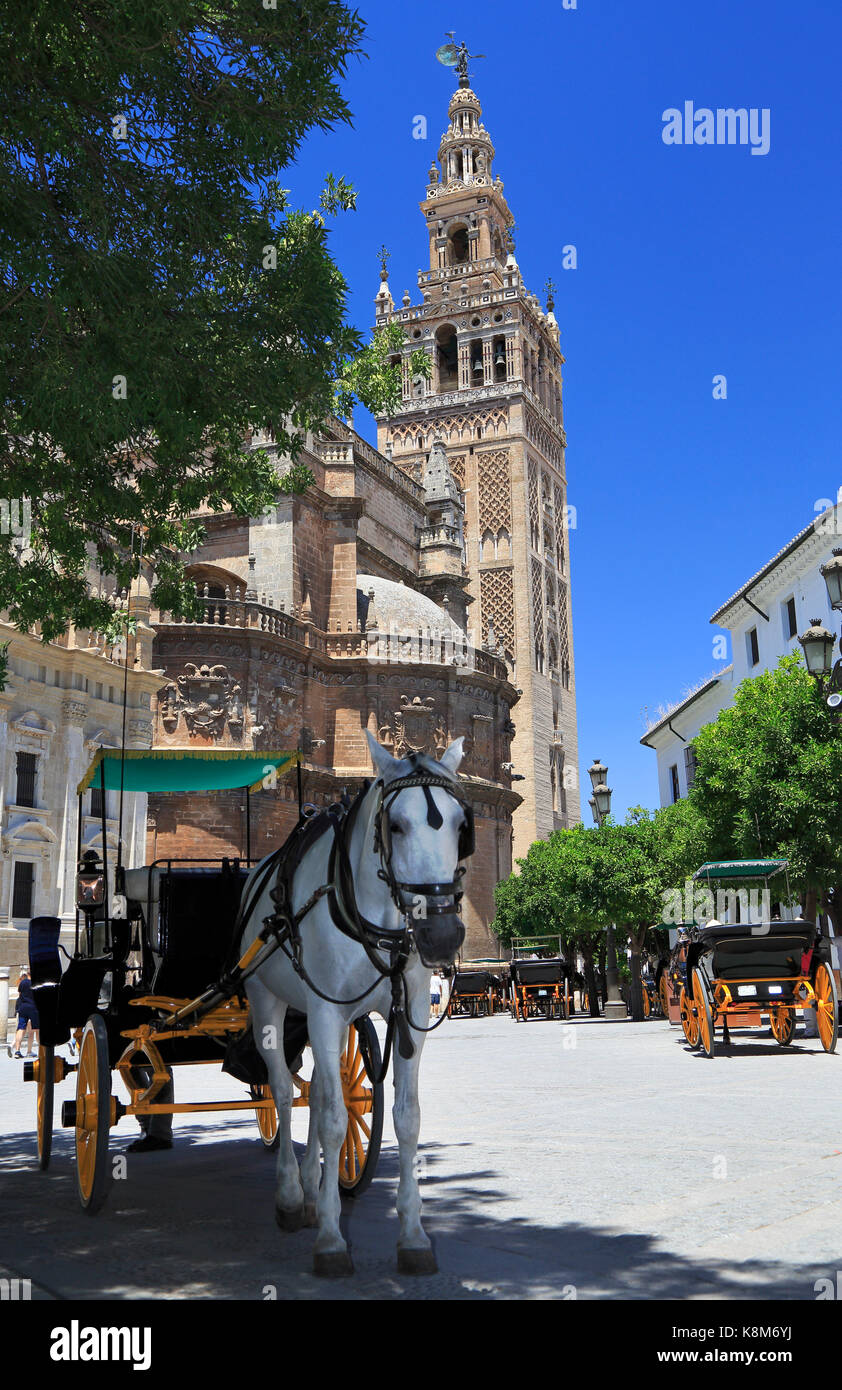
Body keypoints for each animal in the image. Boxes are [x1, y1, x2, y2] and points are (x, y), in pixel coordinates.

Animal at [240, 733, 472, 1273]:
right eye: (396, 824)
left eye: (460, 826)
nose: (442, 935)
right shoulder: (326, 1013)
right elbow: (330, 1120)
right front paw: (330, 1239)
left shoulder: (410, 1014)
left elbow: (405, 1118)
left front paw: (412, 1235)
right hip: (267, 1003)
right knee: (284, 1094)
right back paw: (291, 1195)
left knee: (319, 1090)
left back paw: (310, 1189)